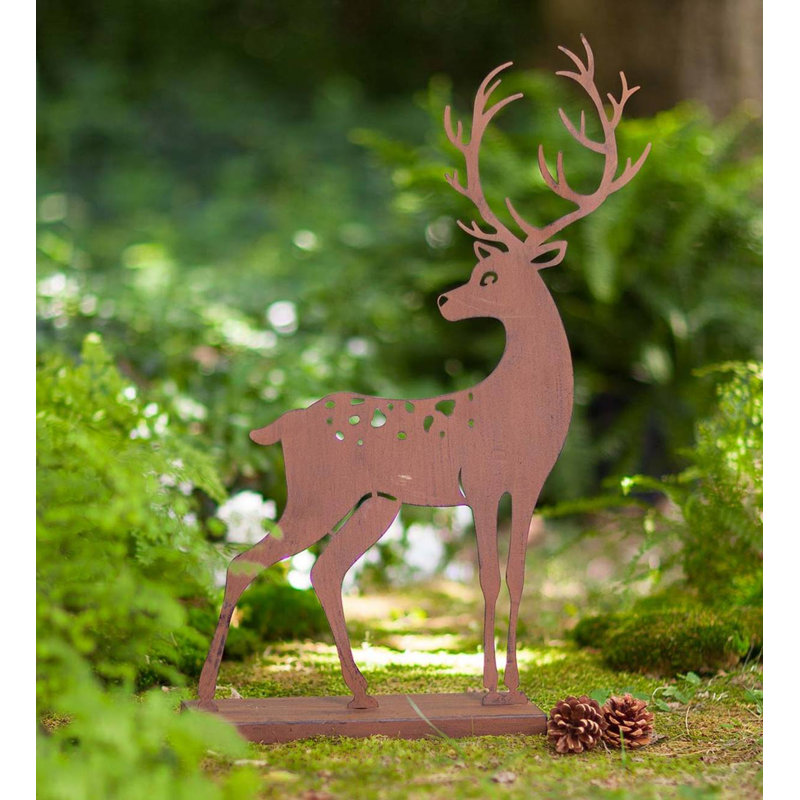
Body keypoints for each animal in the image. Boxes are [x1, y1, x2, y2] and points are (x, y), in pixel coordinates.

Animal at [197, 35, 650, 711]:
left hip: (376, 503)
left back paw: (361, 695)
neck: (522, 407)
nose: (443, 301)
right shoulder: (482, 482)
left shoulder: (532, 483)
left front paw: (515, 692)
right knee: (246, 562)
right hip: (318, 490)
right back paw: (205, 696)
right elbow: (487, 579)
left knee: (321, 571)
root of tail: (282, 424)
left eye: (488, 276)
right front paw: (487, 693)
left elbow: (519, 578)